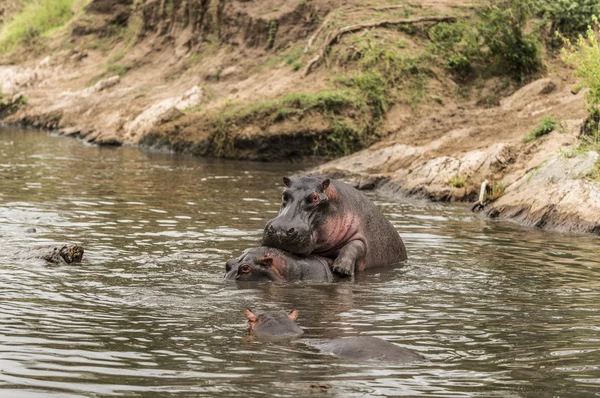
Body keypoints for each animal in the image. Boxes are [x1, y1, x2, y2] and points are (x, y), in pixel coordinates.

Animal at [260, 176, 406, 276]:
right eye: (285, 194)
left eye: (315, 197)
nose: (280, 230)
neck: (336, 201)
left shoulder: (362, 235)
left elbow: (355, 246)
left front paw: (342, 269)